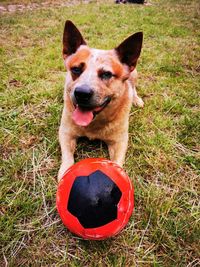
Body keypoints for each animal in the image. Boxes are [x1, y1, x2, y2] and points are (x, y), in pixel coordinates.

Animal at [57, 19, 144, 181]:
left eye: (106, 74)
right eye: (76, 69)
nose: (82, 93)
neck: (94, 124)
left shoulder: (120, 141)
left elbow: (117, 163)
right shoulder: (65, 132)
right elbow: (67, 157)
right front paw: (65, 172)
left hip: (134, 74)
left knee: (133, 87)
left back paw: (136, 99)